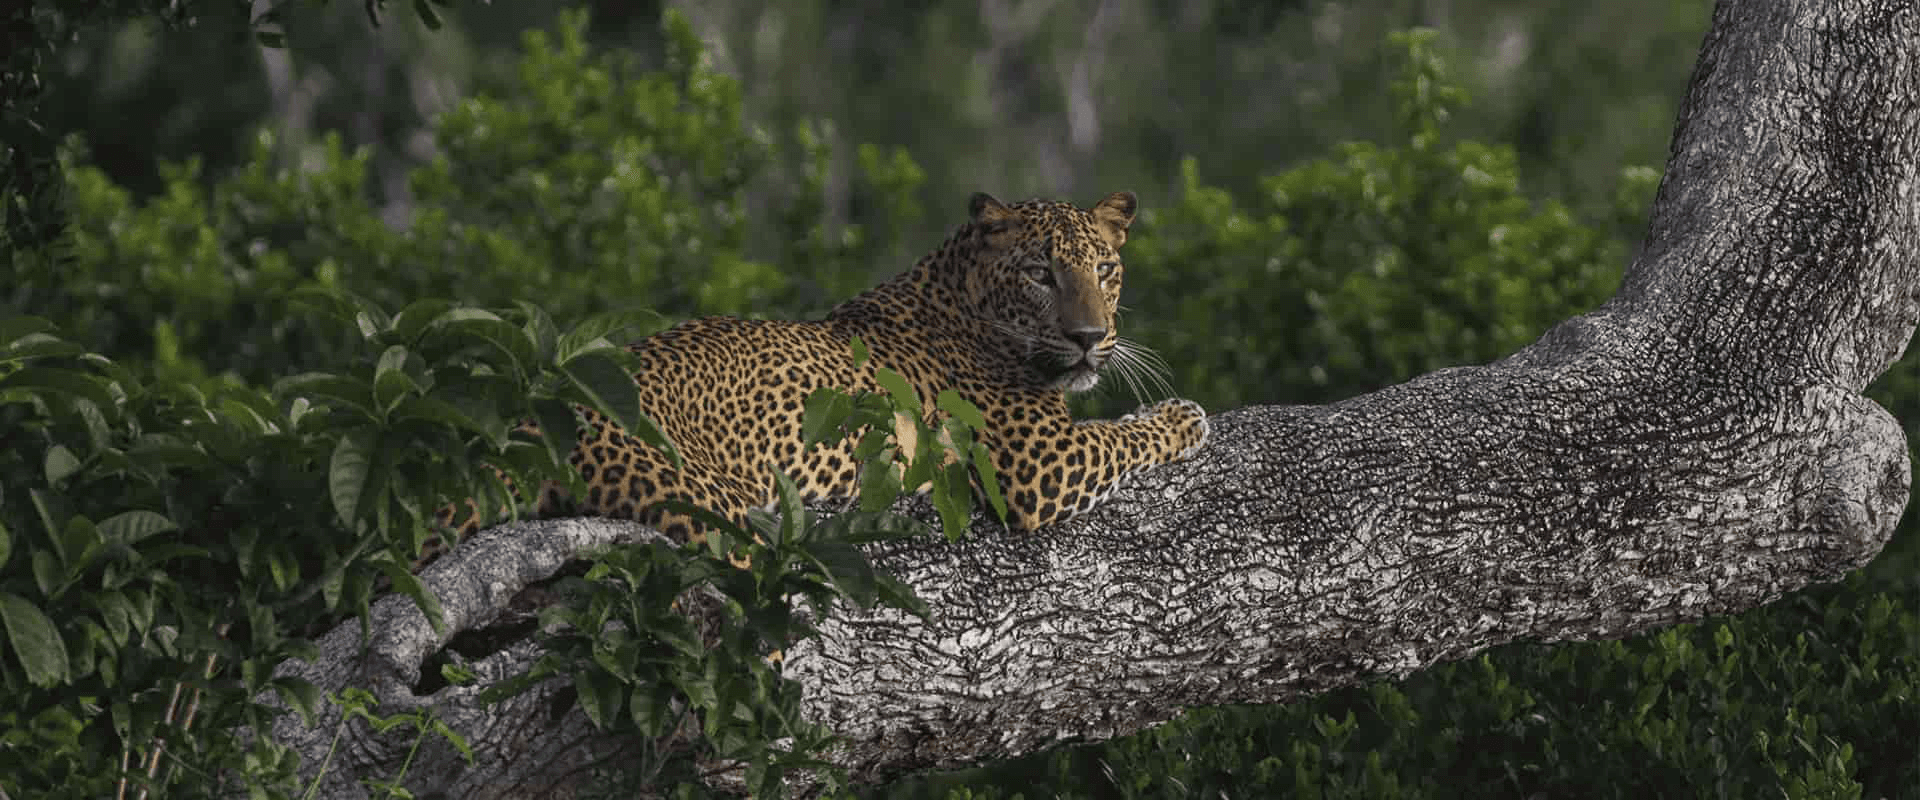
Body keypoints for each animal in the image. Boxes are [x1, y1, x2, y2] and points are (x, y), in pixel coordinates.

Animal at [450, 190, 1209, 547]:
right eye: (1040, 275)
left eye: (1104, 270)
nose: (1089, 337)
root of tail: (534, 418)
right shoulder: (1035, 464)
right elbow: (1122, 435)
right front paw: (1183, 416)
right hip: (707, 511)